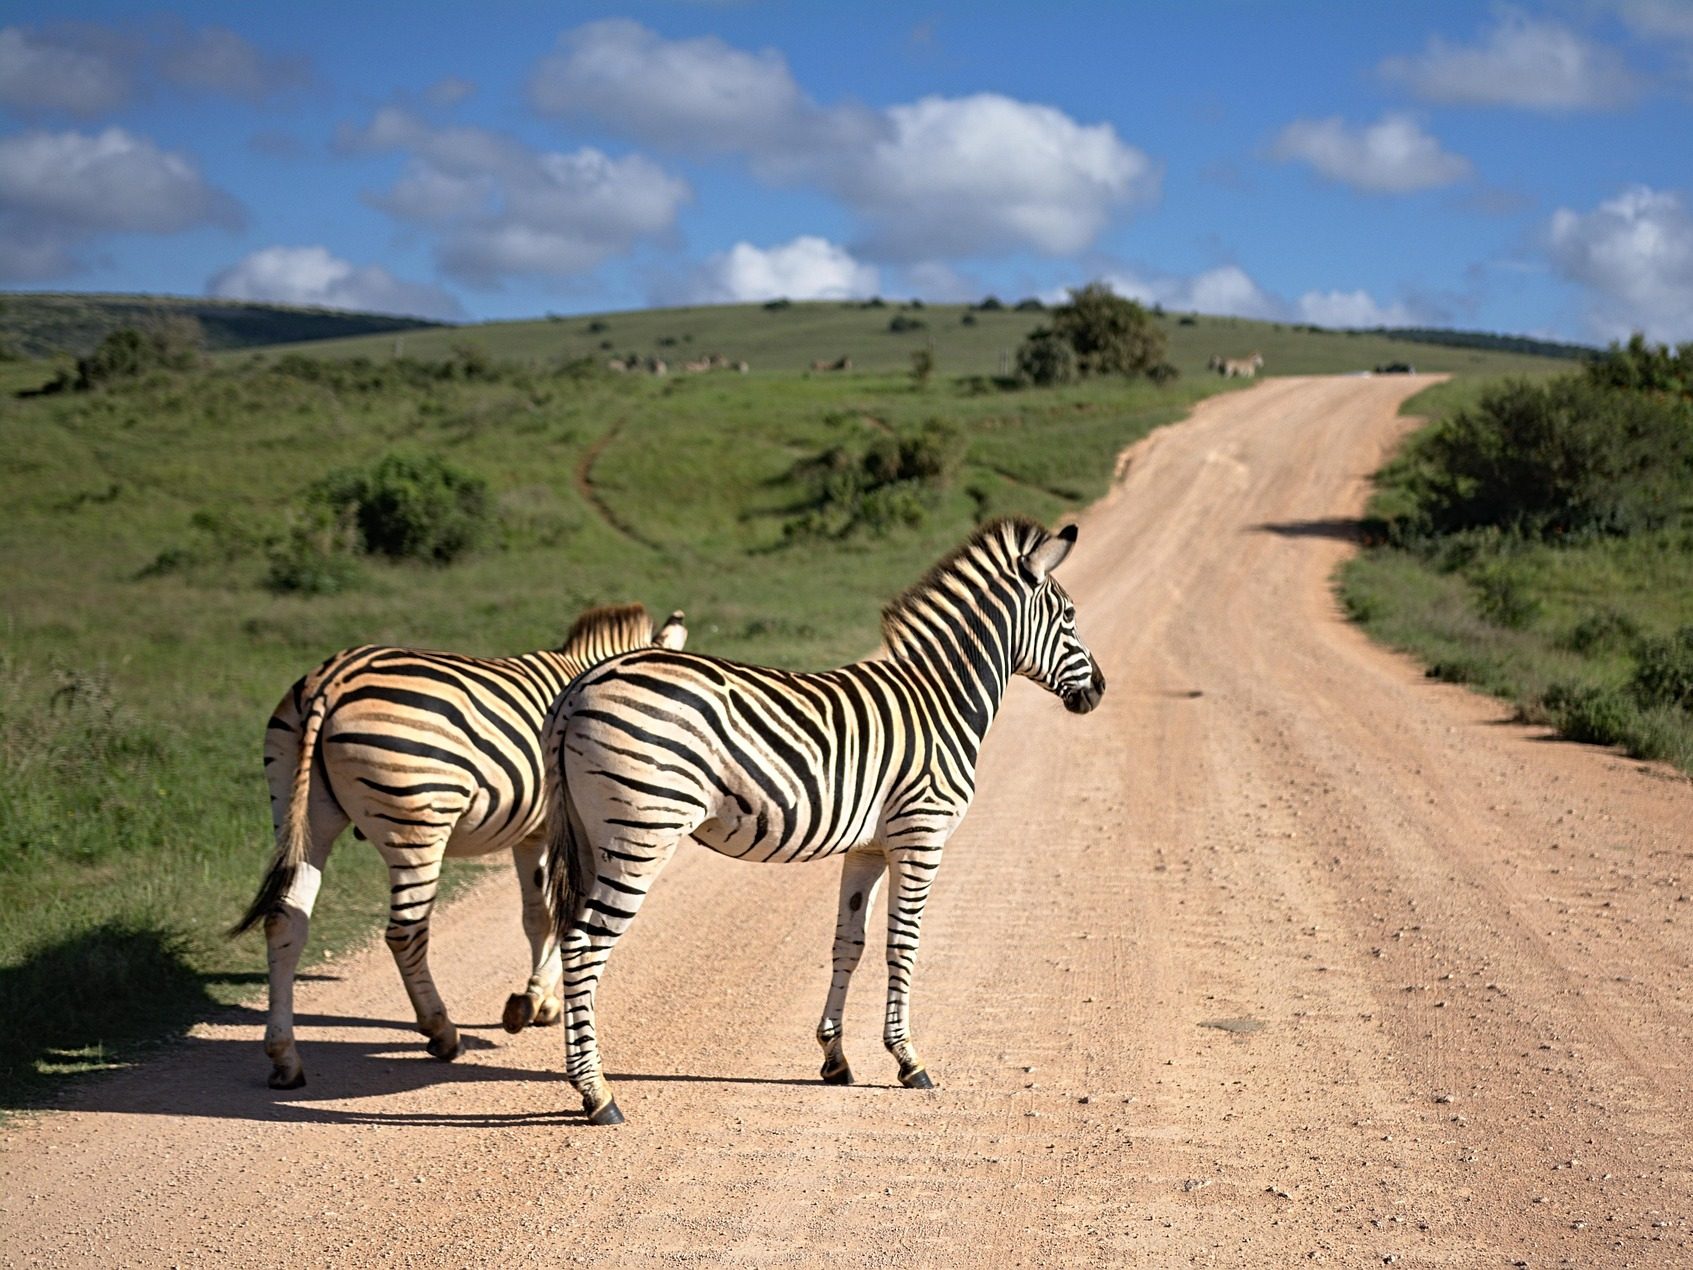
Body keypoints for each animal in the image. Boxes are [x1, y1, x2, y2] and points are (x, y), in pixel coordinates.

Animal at [232, 603, 687, 1090]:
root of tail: (331, 680)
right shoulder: (560, 828)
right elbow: (560, 915)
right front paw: (535, 999)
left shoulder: (533, 833)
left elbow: (538, 915)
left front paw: (539, 1002)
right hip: (416, 823)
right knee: (406, 932)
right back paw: (441, 1031)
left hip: (301, 812)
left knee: (285, 921)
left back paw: (285, 1058)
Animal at [542, 518, 1105, 1124]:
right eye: (1069, 616)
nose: (1099, 690)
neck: (942, 700)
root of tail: (581, 686)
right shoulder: (921, 835)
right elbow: (903, 944)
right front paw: (909, 1061)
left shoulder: (868, 848)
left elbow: (849, 942)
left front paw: (834, 1058)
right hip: (641, 834)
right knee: (585, 944)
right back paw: (598, 1093)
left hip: (594, 835)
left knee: (570, 937)